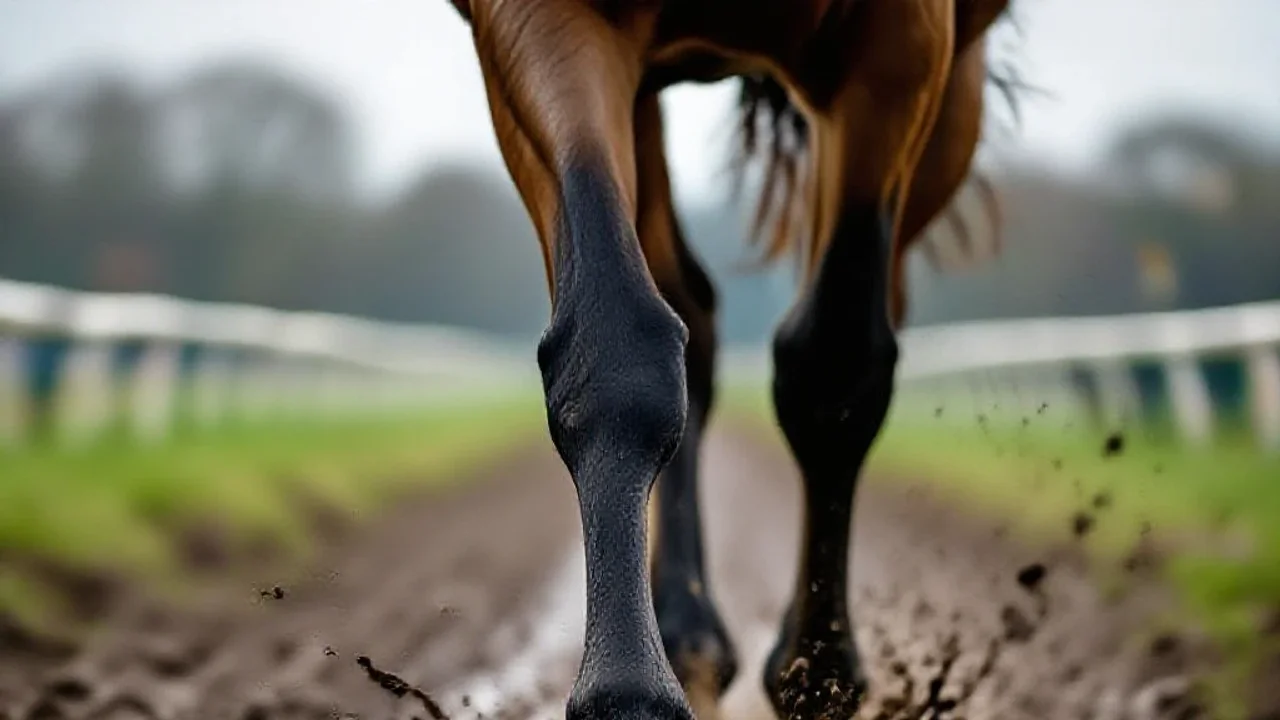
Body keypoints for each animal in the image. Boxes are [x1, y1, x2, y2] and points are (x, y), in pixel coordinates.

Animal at [442, 1, 1014, 718]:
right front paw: (629, 691)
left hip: (948, 98)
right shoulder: (535, 25)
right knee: (687, 305)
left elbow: (834, 365)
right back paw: (691, 644)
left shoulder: (905, 40)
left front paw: (817, 676)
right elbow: (615, 341)